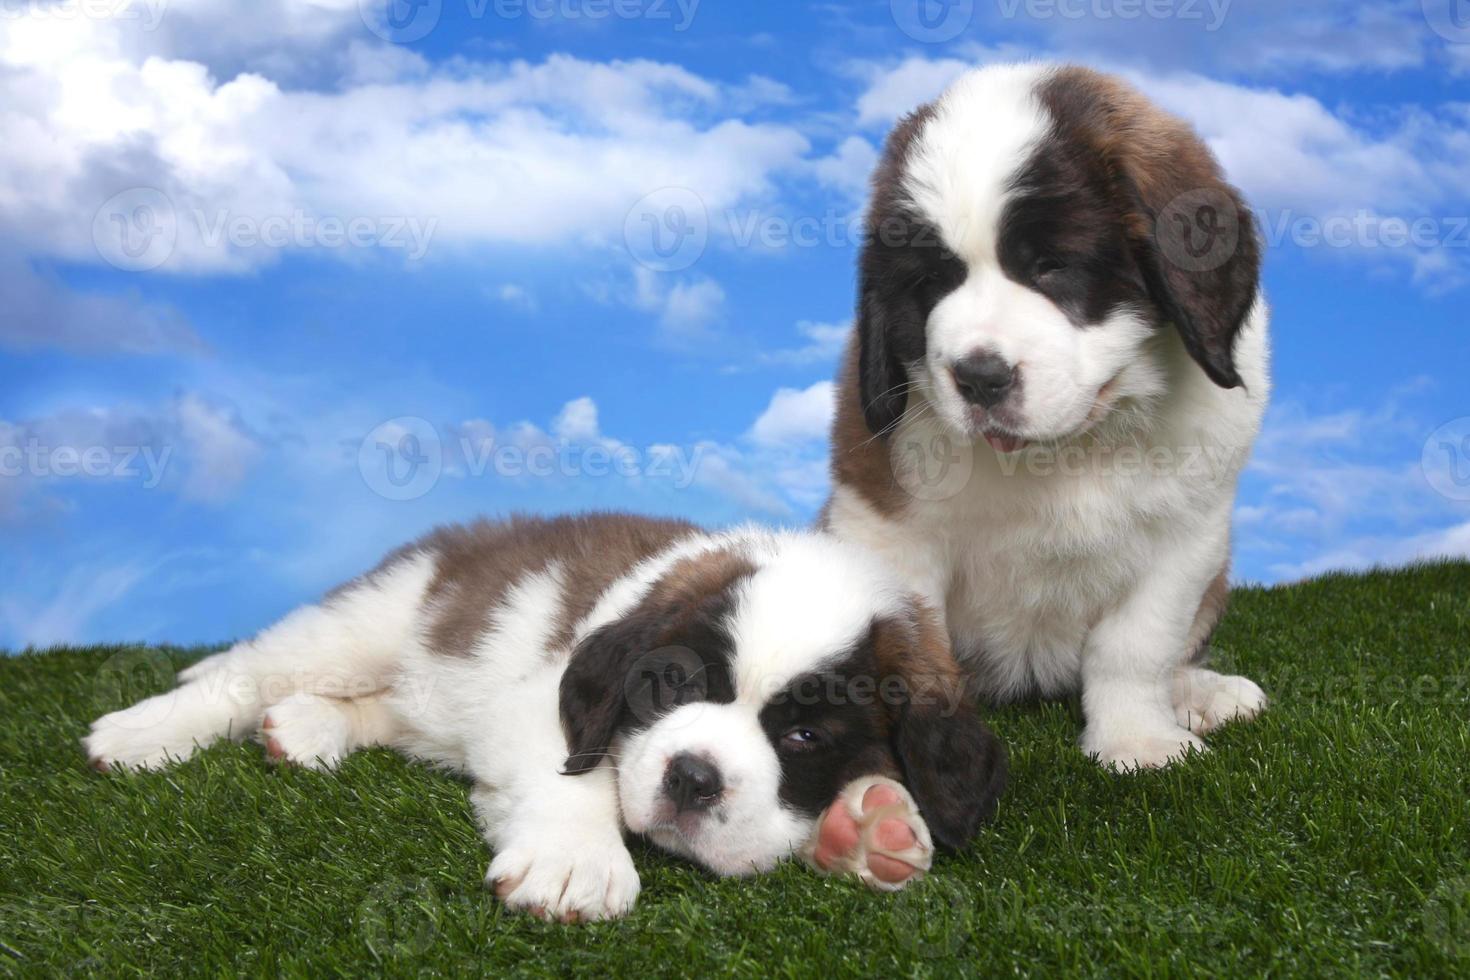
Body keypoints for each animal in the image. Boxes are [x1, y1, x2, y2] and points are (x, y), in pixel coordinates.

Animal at [85, 514, 1005, 922]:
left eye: (805, 737)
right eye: (672, 689)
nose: (692, 778)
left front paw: (868, 824)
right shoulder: (541, 698)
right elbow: (577, 776)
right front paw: (575, 860)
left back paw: (308, 728)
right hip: (366, 624)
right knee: (244, 672)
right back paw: (142, 732)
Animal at [829, 63, 1275, 775]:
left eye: (1051, 266)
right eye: (932, 282)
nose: (978, 376)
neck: (1071, 448)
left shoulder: (1188, 538)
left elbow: (1136, 645)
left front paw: (1136, 740)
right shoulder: (884, 529)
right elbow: (913, 653)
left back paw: (1200, 692)